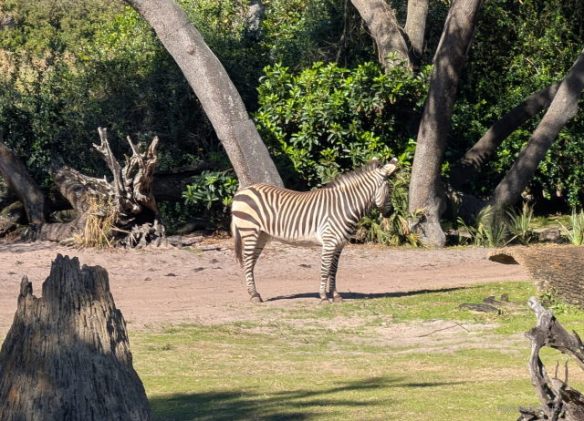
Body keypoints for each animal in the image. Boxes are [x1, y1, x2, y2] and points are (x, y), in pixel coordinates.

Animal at [231, 158, 398, 303]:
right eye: (390, 189)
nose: (391, 213)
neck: (344, 206)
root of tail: (243, 190)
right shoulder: (329, 242)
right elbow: (325, 270)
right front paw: (324, 297)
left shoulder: (339, 245)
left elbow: (333, 270)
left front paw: (336, 296)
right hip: (249, 231)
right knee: (247, 262)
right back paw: (253, 295)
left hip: (261, 236)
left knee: (251, 263)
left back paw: (255, 294)